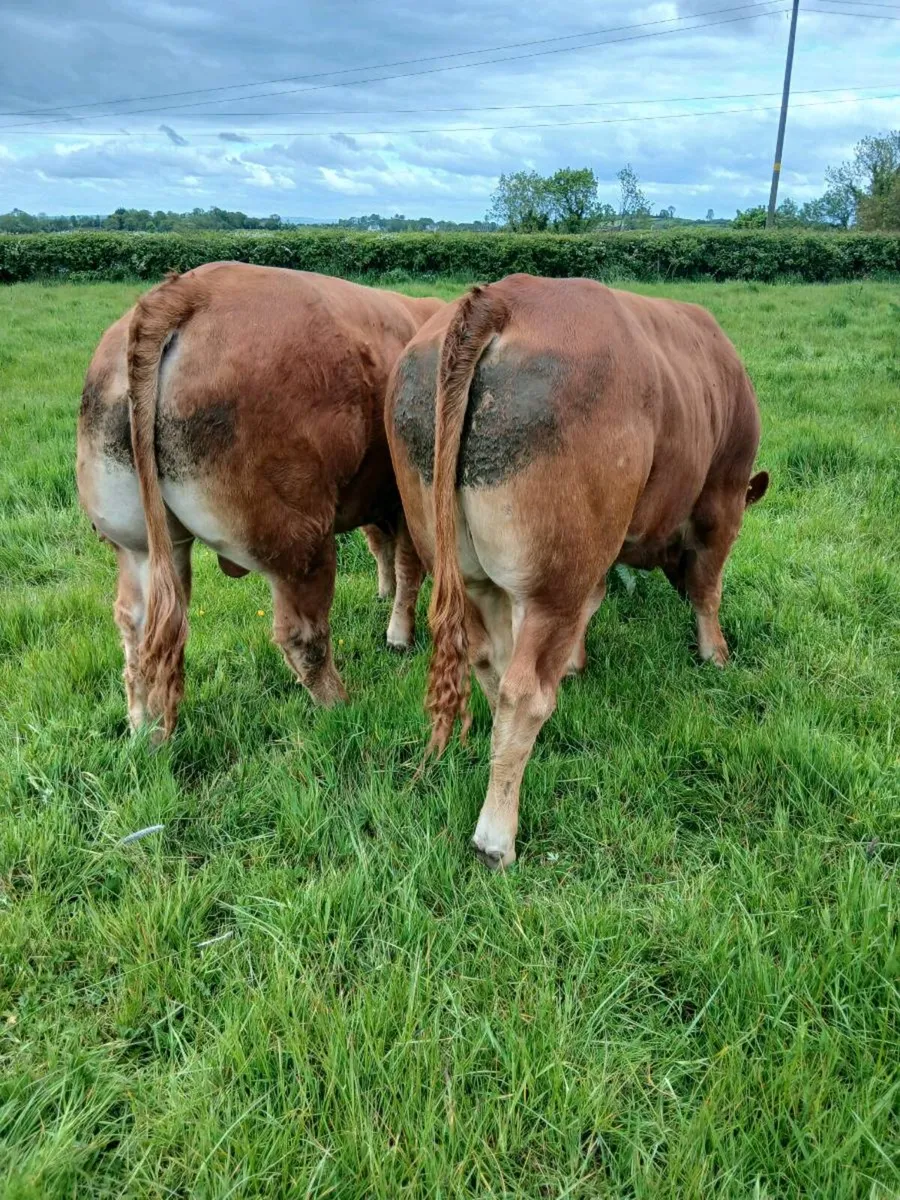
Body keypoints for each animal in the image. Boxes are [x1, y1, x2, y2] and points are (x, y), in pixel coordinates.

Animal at [77, 261, 442, 741]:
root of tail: (188, 291)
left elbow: (381, 548)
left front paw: (383, 593)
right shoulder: (404, 498)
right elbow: (407, 565)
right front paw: (399, 634)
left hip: (137, 543)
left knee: (139, 630)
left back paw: (147, 735)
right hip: (300, 537)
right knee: (301, 634)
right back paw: (341, 707)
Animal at [386, 274, 769, 869]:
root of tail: (501, 296)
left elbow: (596, 600)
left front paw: (574, 664)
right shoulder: (721, 500)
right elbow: (708, 589)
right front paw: (716, 656)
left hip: (468, 568)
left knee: (490, 664)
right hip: (553, 582)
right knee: (523, 693)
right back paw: (496, 836)